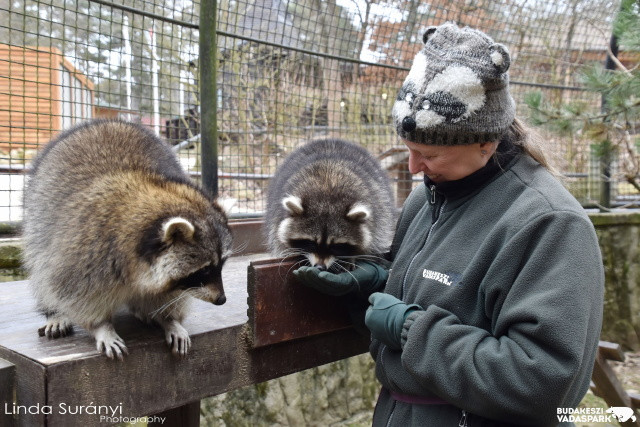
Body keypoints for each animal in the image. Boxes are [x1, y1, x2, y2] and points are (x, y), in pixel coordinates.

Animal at [23, 120, 232, 362]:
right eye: (205, 269)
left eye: (221, 265)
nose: (221, 300)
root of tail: (107, 122)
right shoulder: (86, 254)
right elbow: (73, 291)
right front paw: (101, 326)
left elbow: (168, 295)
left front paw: (169, 319)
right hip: (38, 219)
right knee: (41, 268)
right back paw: (54, 312)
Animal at [264, 140, 396, 274]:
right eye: (311, 243)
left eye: (336, 246)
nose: (320, 267)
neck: (327, 193)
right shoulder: (277, 215)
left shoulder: (376, 213)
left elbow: (372, 237)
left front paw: (352, 257)